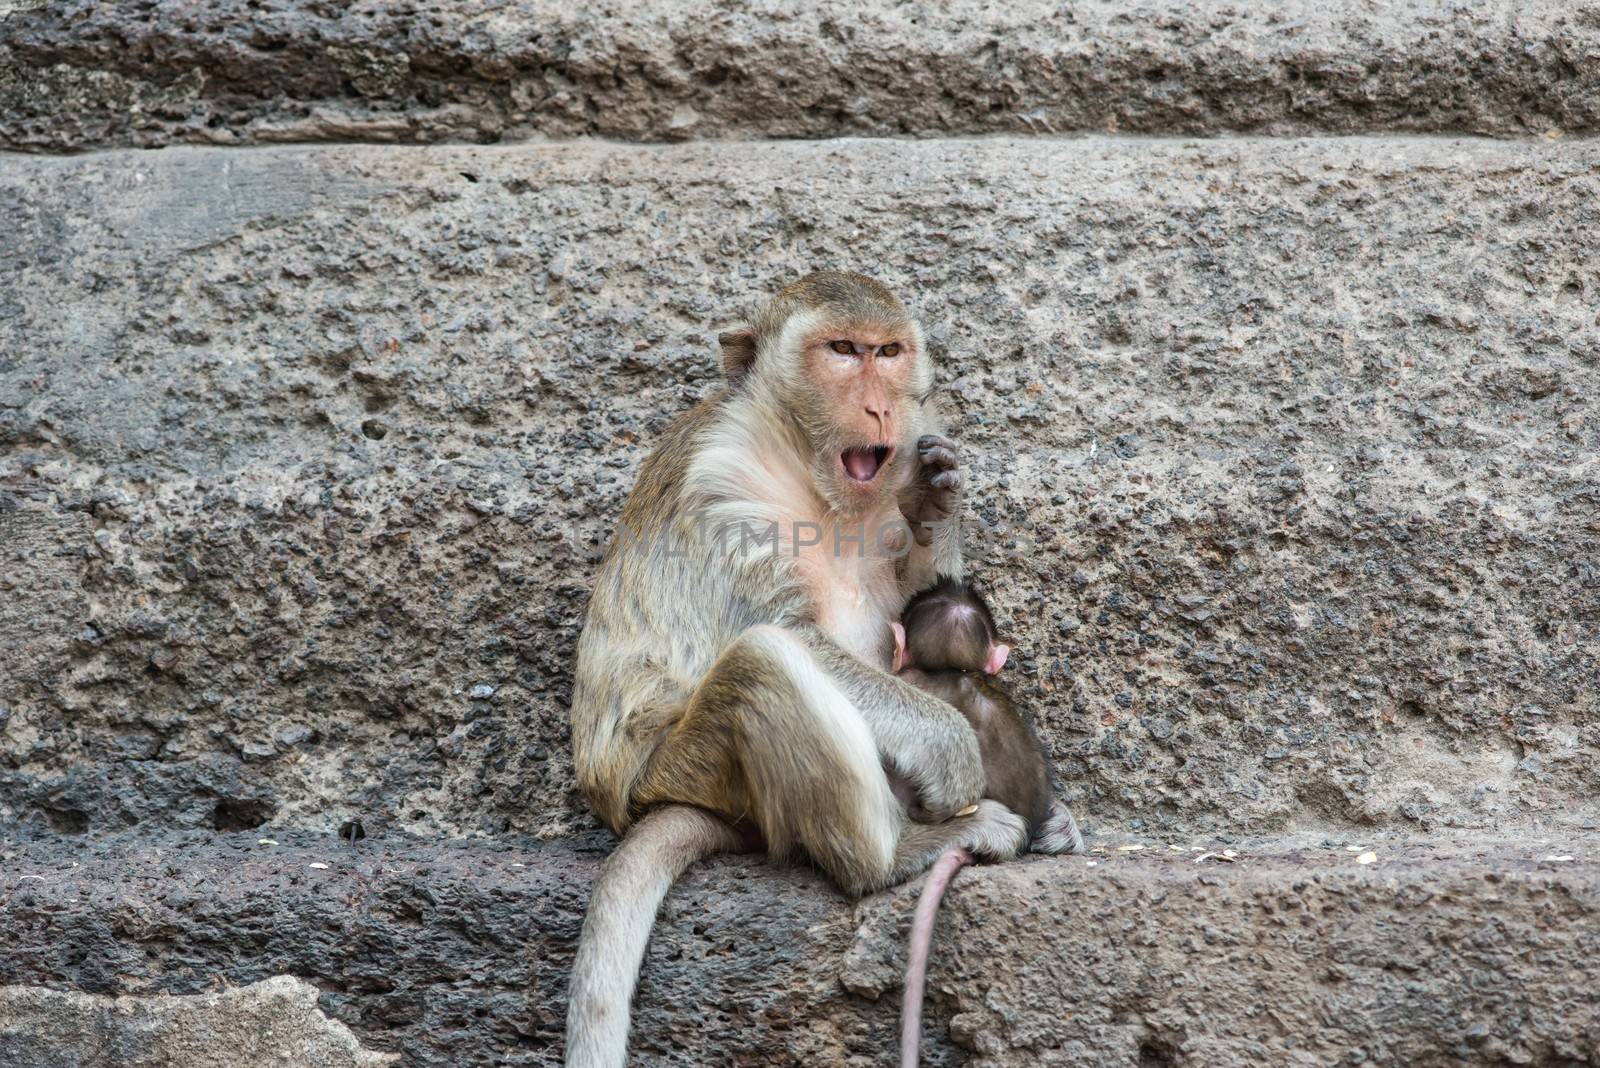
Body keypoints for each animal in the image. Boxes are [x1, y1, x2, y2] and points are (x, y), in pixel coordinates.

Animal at [569, 271, 1030, 1061]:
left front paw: (935, 504)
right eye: (842, 351)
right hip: (693, 767)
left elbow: (919, 614)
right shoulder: (722, 480)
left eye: (888, 352)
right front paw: (946, 741)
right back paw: (894, 857)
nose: (880, 404)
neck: (808, 471)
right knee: (764, 663)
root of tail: (634, 798)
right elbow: (790, 631)